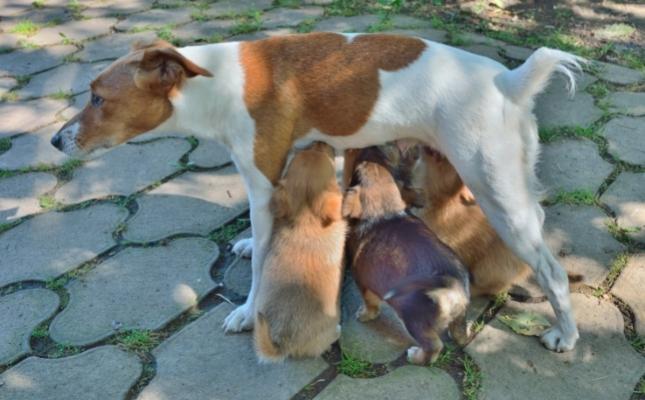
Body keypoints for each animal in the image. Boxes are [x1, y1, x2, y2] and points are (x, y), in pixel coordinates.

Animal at [342, 147, 468, 366]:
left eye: (357, 170)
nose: (369, 147)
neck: (385, 212)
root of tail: (452, 283)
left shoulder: (364, 282)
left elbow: (370, 303)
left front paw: (365, 315)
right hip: (457, 317)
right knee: (460, 331)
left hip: (413, 319)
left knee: (433, 347)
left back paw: (416, 356)